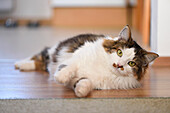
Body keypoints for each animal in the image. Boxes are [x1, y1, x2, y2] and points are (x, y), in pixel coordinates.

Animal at [14, 25, 159, 97]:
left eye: (131, 63)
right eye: (119, 52)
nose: (119, 65)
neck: (105, 68)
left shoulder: (88, 80)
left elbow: (84, 82)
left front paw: (81, 91)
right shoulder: (76, 58)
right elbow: (68, 67)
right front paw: (60, 77)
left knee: (42, 63)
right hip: (54, 51)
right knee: (40, 56)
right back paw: (20, 64)